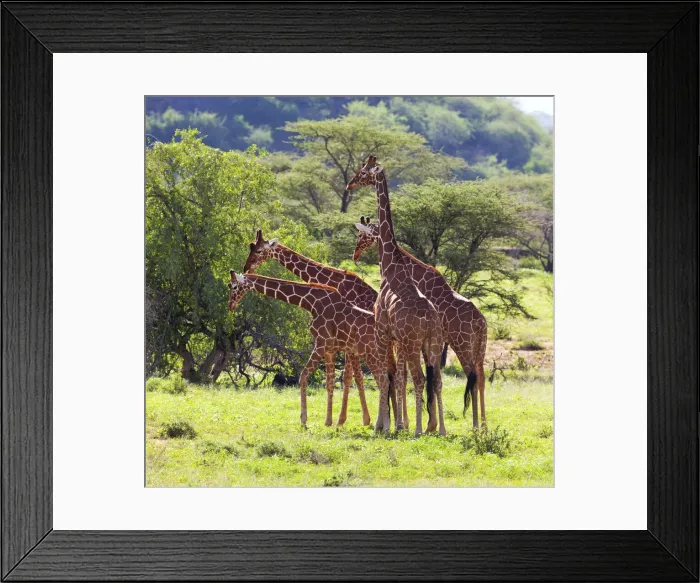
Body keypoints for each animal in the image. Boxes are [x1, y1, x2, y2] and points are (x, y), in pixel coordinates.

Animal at [228, 270, 391, 429]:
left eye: (234, 286)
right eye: (229, 285)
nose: (231, 305)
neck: (312, 303)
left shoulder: (320, 344)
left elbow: (303, 376)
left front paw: (304, 419)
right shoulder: (329, 349)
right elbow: (330, 382)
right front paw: (328, 421)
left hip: (370, 353)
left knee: (383, 381)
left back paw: (382, 426)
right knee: (383, 381)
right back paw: (381, 424)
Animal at [243, 229, 405, 427]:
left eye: (259, 251)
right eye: (251, 247)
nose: (246, 267)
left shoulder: (347, 340)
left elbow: (350, 376)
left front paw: (347, 420)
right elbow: (350, 377)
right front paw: (349, 419)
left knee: (395, 374)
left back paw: (397, 421)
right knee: (394, 373)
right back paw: (398, 421)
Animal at [346, 156, 445, 436]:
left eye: (364, 171)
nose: (349, 184)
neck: (391, 268)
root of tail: (430, 321)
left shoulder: (382, 330)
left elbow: (386, 375)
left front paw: (383, 426)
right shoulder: (396, 338)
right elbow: (396, 376)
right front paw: (395, 424)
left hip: (413, 344)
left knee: (419, 378)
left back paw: (418, 430)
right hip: (432, 344)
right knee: (437, 381)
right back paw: (440, 430)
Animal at [353, 217, 488, 428]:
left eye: (361, 234)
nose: (355, 254)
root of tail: (481, 322)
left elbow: (408, 376)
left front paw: (412, 423)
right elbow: (423, 377)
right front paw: (426, 423)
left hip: (462, 345)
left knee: (471, 377)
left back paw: (475, 425)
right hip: (479, 348)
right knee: (481, 378)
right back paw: (483, 425)